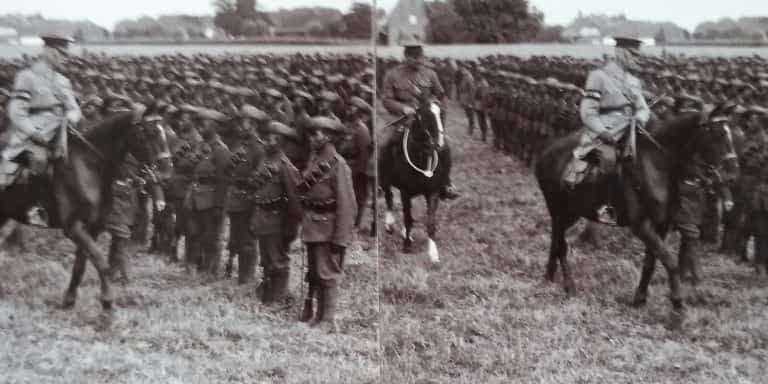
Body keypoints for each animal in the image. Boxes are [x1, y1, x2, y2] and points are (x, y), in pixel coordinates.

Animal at [0, 108, 174, 328]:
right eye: (151, 132)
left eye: (166, 132)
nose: (166, 173)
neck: (88, 166)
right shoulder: (74, 227)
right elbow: (101, 262)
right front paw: (107, 307)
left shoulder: (92, 228)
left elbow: (80, 267)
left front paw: (68, 301)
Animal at [380, 97, 452, 262]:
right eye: (426, 116)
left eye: (442, 114)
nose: (440, 145)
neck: (422, 158)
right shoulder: (405, 192)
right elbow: (407, 218)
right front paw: (406, 245)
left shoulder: (432, 192)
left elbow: (430, 222)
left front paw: (433, 253)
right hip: (385, 182)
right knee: (389, 197)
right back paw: (389, 224)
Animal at [536, 108, 736, 318]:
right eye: (717, 134)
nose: (732, 176)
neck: (658, 164)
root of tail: (544, 154)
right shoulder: (642, 227)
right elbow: (670, 261)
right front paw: (678, 304)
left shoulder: (661, 226)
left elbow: (650, 263)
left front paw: (639, 300)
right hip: (559, 210)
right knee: (561, 246)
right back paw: (569, 286)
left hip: (570, 214)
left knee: (556, 241)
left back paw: (550, 276)